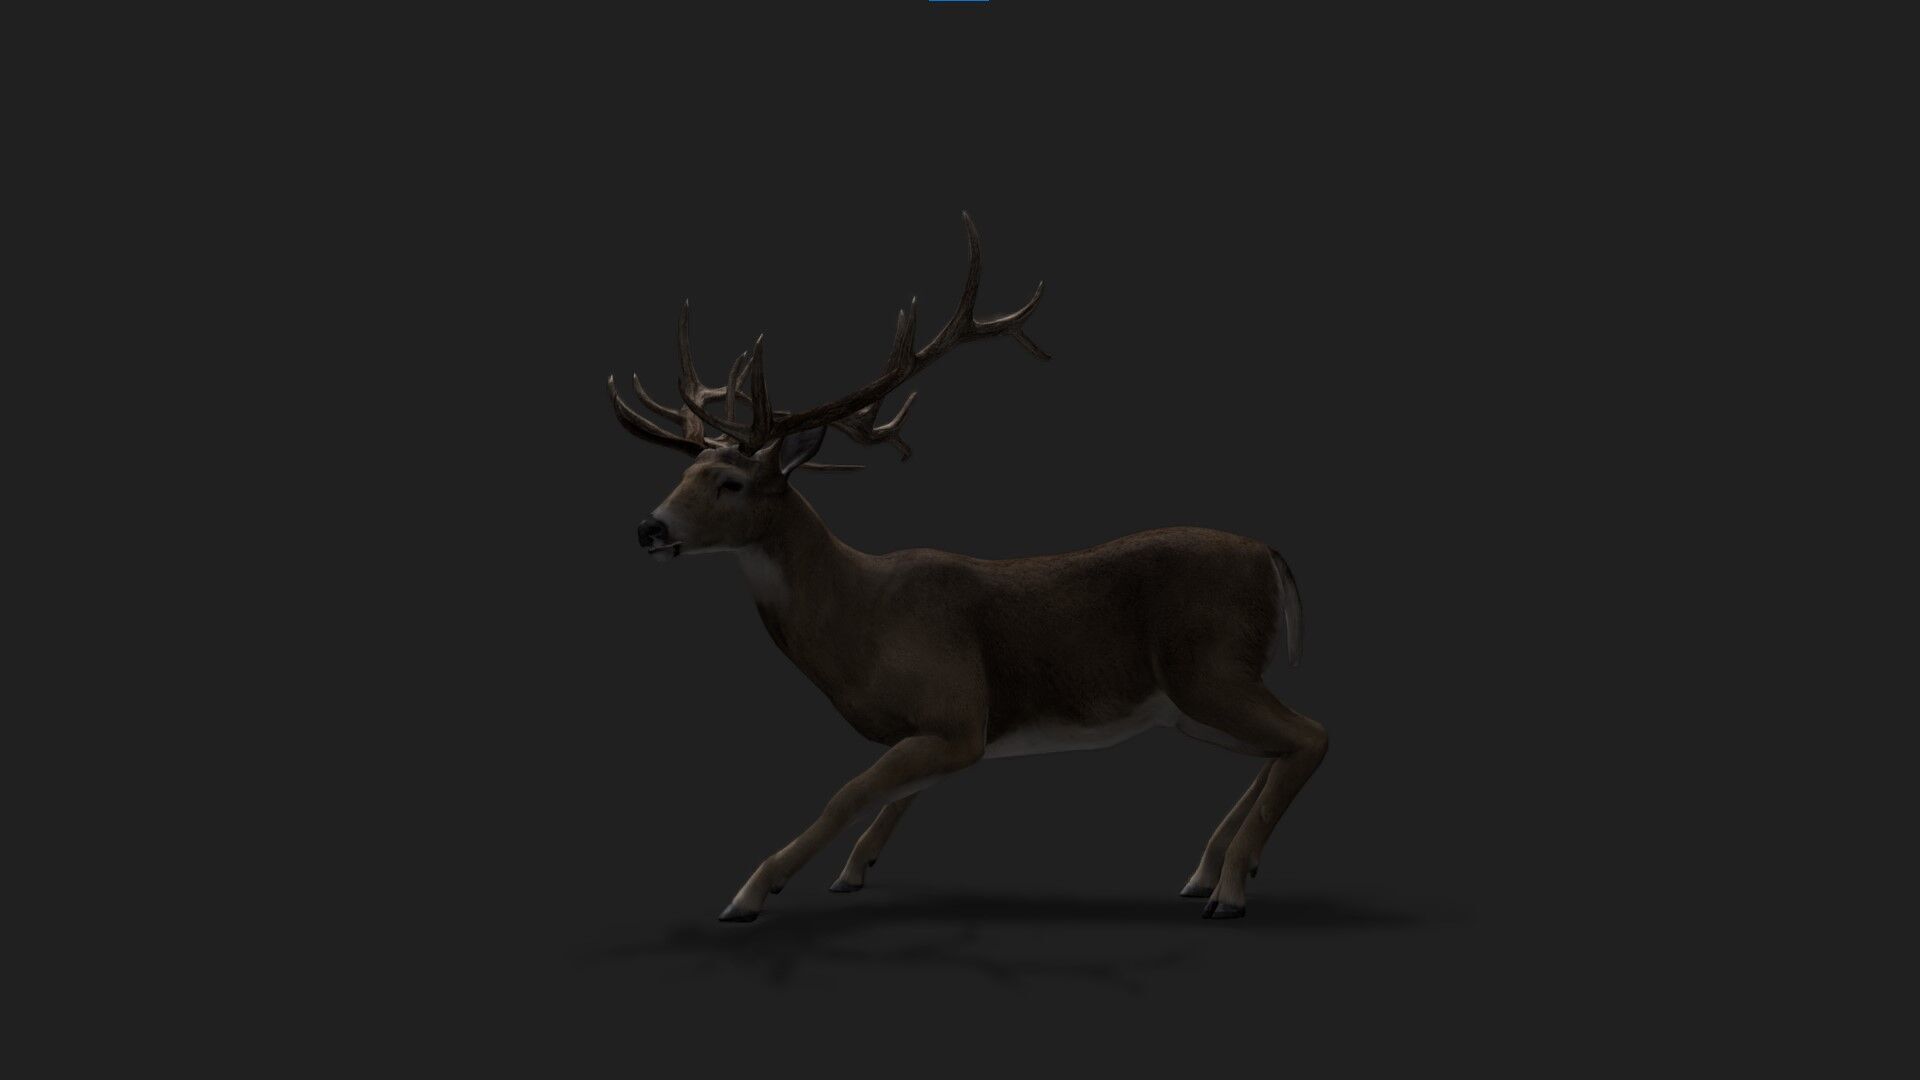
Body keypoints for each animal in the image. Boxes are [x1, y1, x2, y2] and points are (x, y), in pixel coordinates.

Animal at [607, 214, 1327, 921]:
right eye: (683, 474)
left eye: (730, 482)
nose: (649, 528)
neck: (858, 623)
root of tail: (1269, 554)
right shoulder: (932, 729)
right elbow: (893, 795)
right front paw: (852, 871)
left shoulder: (958, 712)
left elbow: (848, 793)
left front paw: (751, 892)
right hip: (1190, 699)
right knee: (1282, 746)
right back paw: (1207, 872)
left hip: (1210, 665)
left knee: (1310, 735)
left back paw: (1229, 889)